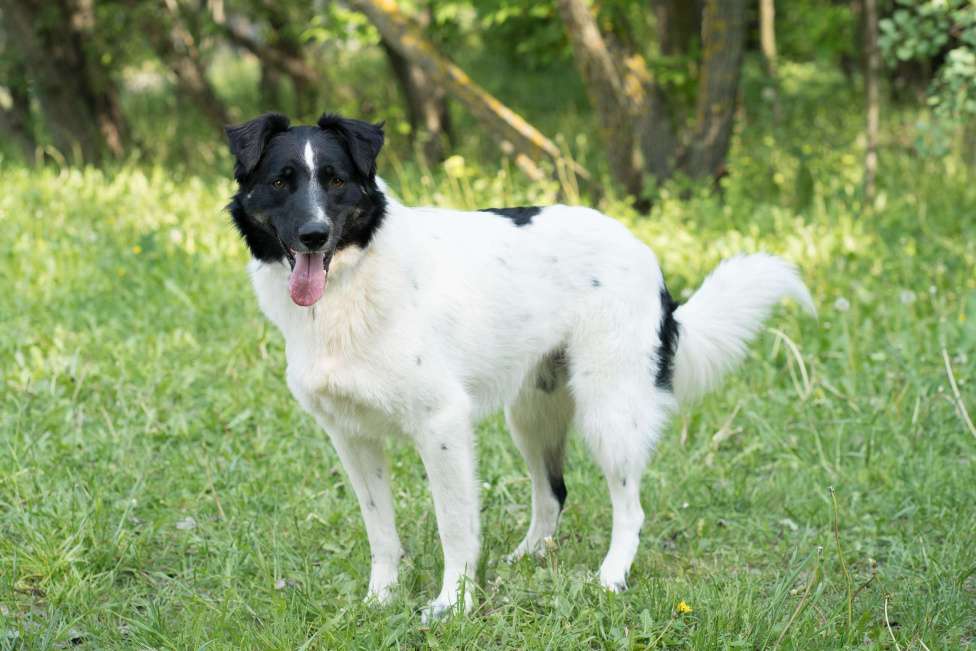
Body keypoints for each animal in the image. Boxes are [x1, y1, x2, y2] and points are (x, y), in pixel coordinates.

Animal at [225, 112, 812, 620]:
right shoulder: (350, 435)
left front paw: (453, 604)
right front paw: (381, 599)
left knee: (630, 507)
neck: (351, 281)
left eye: (336, 181)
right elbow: (381, 531)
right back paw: (529, 557)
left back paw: (611, 577)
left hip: (609, 411)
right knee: (553, 492)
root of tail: (645, 253)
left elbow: (455, 526)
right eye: (280, 182)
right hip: (532, 413)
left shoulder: (442, 424)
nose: (314, 235)